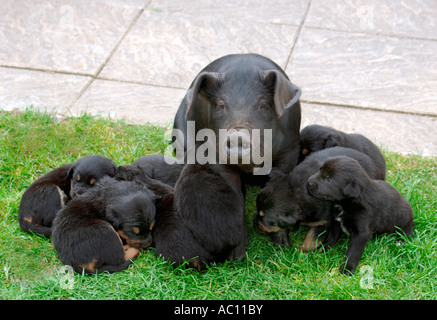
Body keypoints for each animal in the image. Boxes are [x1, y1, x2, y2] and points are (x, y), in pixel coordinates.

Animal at [254, 146, 384, 248]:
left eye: (265, 219)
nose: (254, 223)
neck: (296, 191)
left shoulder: (322, 222)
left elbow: (312, 240)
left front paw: (302, 253)